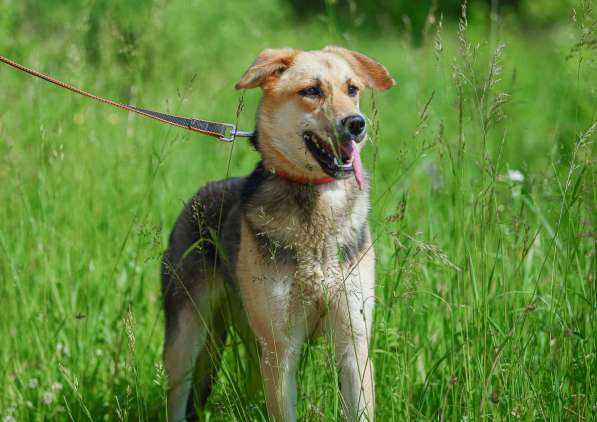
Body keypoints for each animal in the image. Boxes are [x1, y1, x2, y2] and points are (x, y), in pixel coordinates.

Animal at [161, 44, 394, 420]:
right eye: (311, 91)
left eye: (352, 89)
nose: (357, 124)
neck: (315, 202)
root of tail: (198, 196)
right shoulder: (282, 348)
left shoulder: (353, 343)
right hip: (187, 337)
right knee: (178, 394)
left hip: (252, 349)